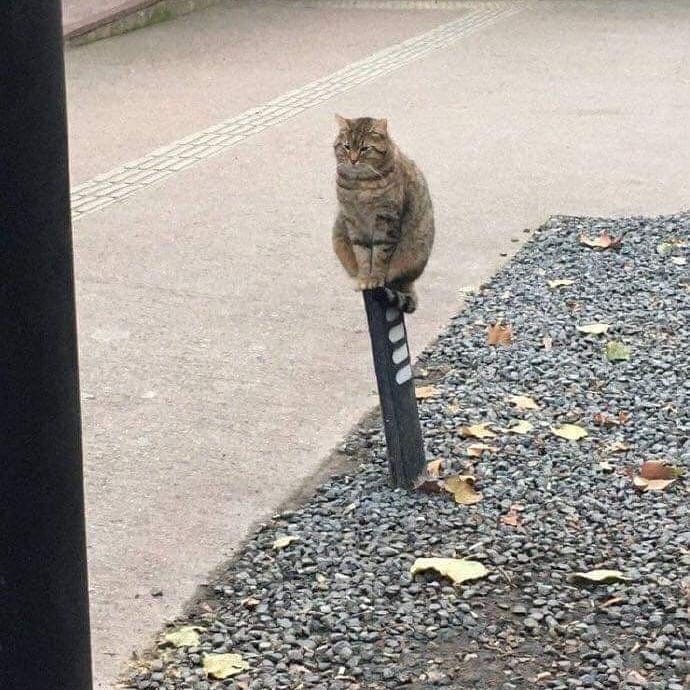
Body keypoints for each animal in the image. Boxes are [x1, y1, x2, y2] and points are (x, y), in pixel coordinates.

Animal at [331, 115, 434, 313]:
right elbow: (362, 255)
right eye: (347, 146)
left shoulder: (386, 221)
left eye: (364, 148)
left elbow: (380, 255)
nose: (353, 160)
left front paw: (374, 278)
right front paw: (364, 278)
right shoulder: (352, 221)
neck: (360, 184)